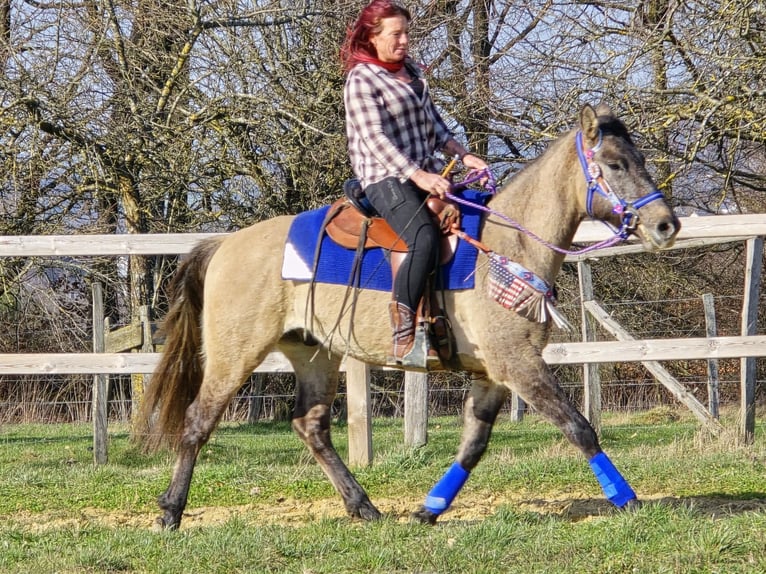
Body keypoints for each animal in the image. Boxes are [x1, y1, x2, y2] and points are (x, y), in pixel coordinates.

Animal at [134, 103, 680, 529]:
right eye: (613, 163)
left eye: (640, 160)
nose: (665, 225)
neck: (507, 248)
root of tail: (224, 245)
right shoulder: (519, 364)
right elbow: (579, 427)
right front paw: (629, 501)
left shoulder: (493, 372)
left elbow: (473, 445)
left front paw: (429, 509)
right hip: (235, 354)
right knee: (198, 421)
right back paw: (170, 512)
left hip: (316, 354)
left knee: (311, 426)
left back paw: (364, 507)